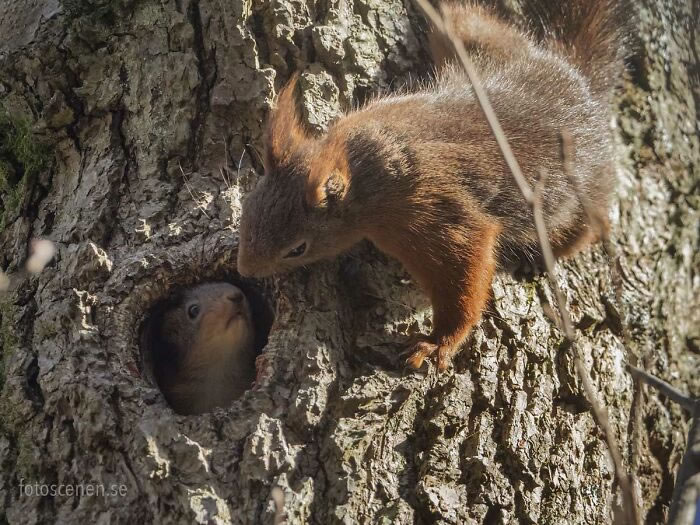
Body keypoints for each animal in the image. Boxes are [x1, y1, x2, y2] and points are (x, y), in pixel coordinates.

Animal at [238, 0, 632, 368]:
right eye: (245, 211)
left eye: (297, 249)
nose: (245, 271)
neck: (364, 170)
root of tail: (578, 80)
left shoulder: (431, 209)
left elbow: (462, 270)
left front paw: (438, 342)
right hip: (476, 44)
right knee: (470, 20)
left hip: (584, 191)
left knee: (589, 225)